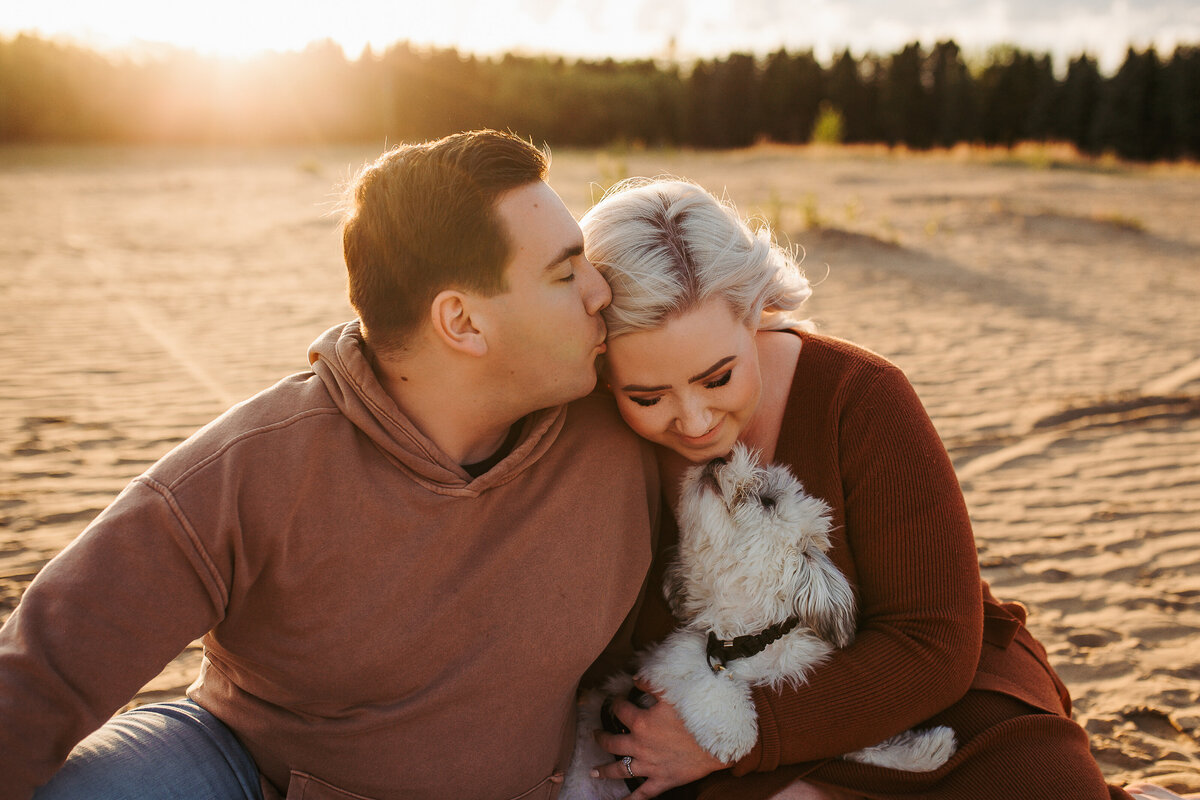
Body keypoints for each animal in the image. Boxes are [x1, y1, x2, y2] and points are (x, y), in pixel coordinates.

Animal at [561, 443, 955, 800]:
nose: (717, 459)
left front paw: (920, 753)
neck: (745, 641)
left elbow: (845, 740)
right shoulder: (666, 664)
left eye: (766, 501)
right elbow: (710, 682)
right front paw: (734, 729)